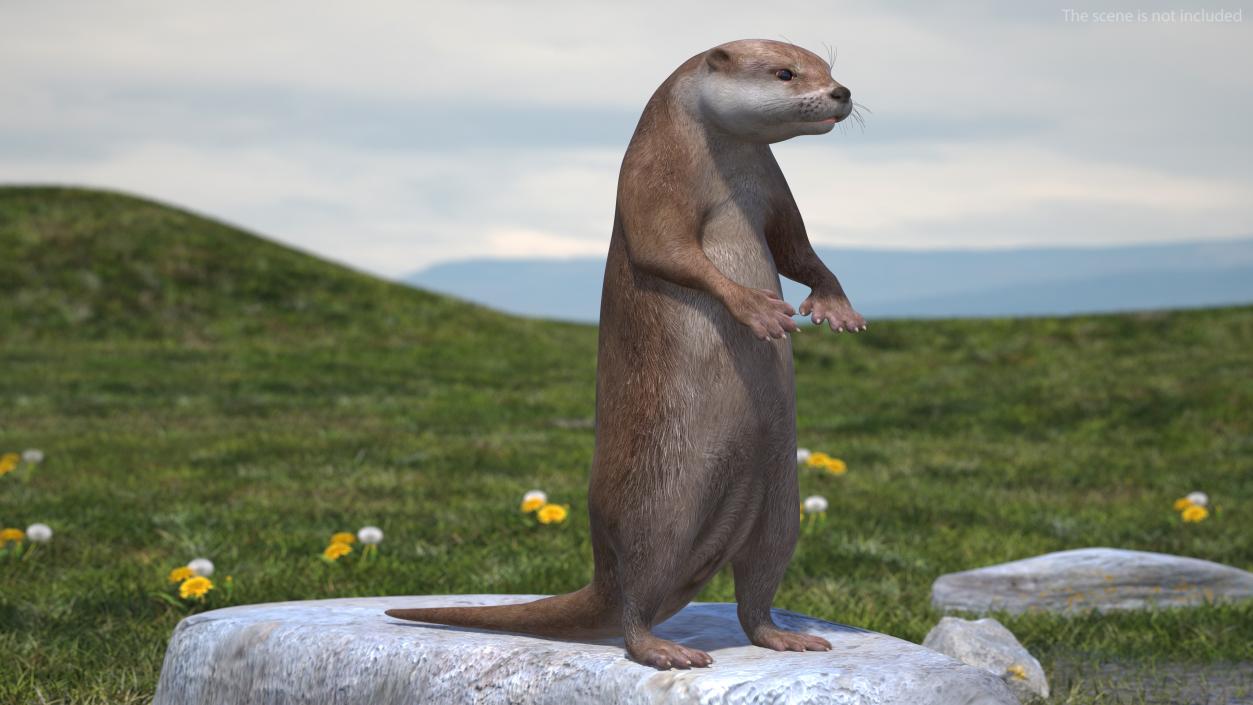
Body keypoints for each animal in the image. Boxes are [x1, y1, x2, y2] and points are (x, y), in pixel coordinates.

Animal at [385, 40, 867, 671]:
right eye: (786, 73)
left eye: (828, 67)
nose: (842, 92)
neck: (723, 169)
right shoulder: (650, 179)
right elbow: (666, 250)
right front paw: (756, 309)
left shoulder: (772, 189)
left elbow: (798, 248)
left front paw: (836, 307)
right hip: (659, 507)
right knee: (639, 593)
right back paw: (664, 650)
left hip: (781, 504)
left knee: (757, 584)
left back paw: (781, 635)